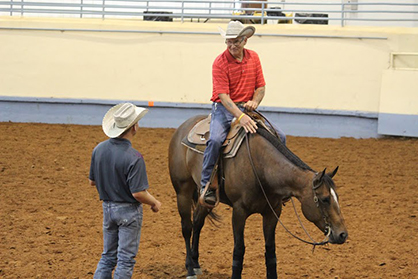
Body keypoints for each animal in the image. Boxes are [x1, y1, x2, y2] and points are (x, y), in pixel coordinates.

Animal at [168, 115, 348, 278]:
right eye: (325, 199)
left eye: (337, 197)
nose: (342, 234)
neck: (261, 167)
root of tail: (183, 127)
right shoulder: (239, 212)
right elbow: (239, 249)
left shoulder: (272, 212)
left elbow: (270, 250)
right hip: (182, 191)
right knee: (187, 228)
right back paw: (190, 269)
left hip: (205, 198)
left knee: (198, 222)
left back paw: (196, 263)